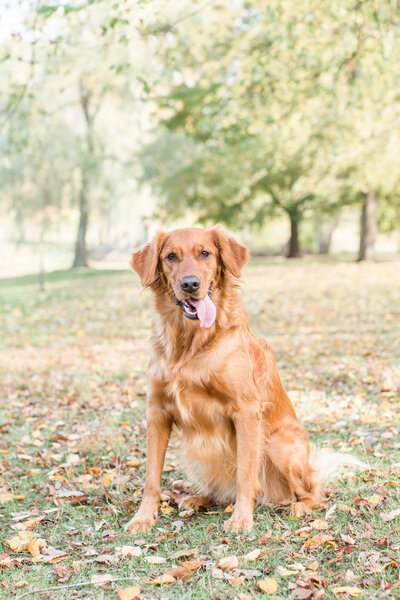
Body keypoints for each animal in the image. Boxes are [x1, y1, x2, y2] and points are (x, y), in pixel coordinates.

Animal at [125, 227, 354, 532]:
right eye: (171, 256)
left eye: (205, 253)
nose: (190, 284)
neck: (190, 344)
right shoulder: (157, 411)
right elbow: (151, 476)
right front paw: (143, 517)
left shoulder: (246, 410)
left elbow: (245, 473)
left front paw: (242, 518)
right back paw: (197, 499)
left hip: (278, 444)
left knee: (313, 491)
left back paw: (299, 506)